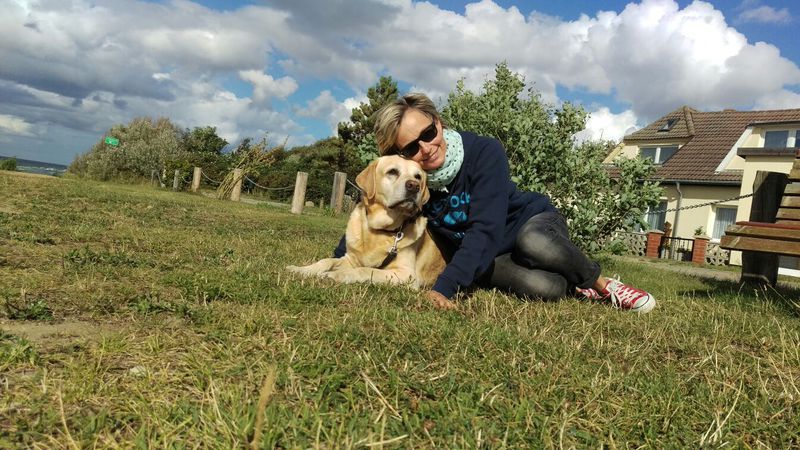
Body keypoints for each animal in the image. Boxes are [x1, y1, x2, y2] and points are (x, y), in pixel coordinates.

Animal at [287, 155, 445, 288]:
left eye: (418, 177)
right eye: (392, 172)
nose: (414, 186)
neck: (380, 230)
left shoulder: (406, 274)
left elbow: (365, 270)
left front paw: (336, 275)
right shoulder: (350, 259)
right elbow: (327, 260)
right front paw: (302, 269)